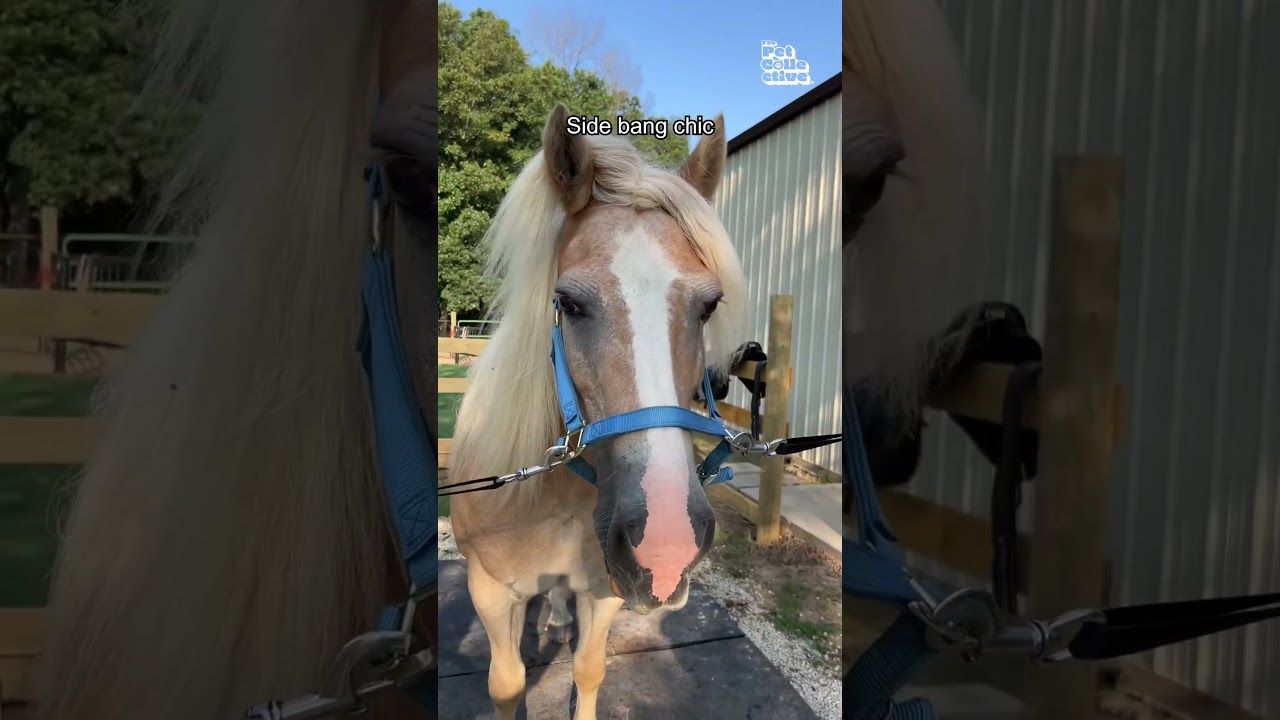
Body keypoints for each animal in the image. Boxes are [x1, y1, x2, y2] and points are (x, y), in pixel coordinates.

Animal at [447, 104, 748, 720]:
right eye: (568, 303)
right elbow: (507, 684)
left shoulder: (605, 589)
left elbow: (588, 669)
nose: (667, 542)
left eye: (709, 306)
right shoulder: (489, 593)